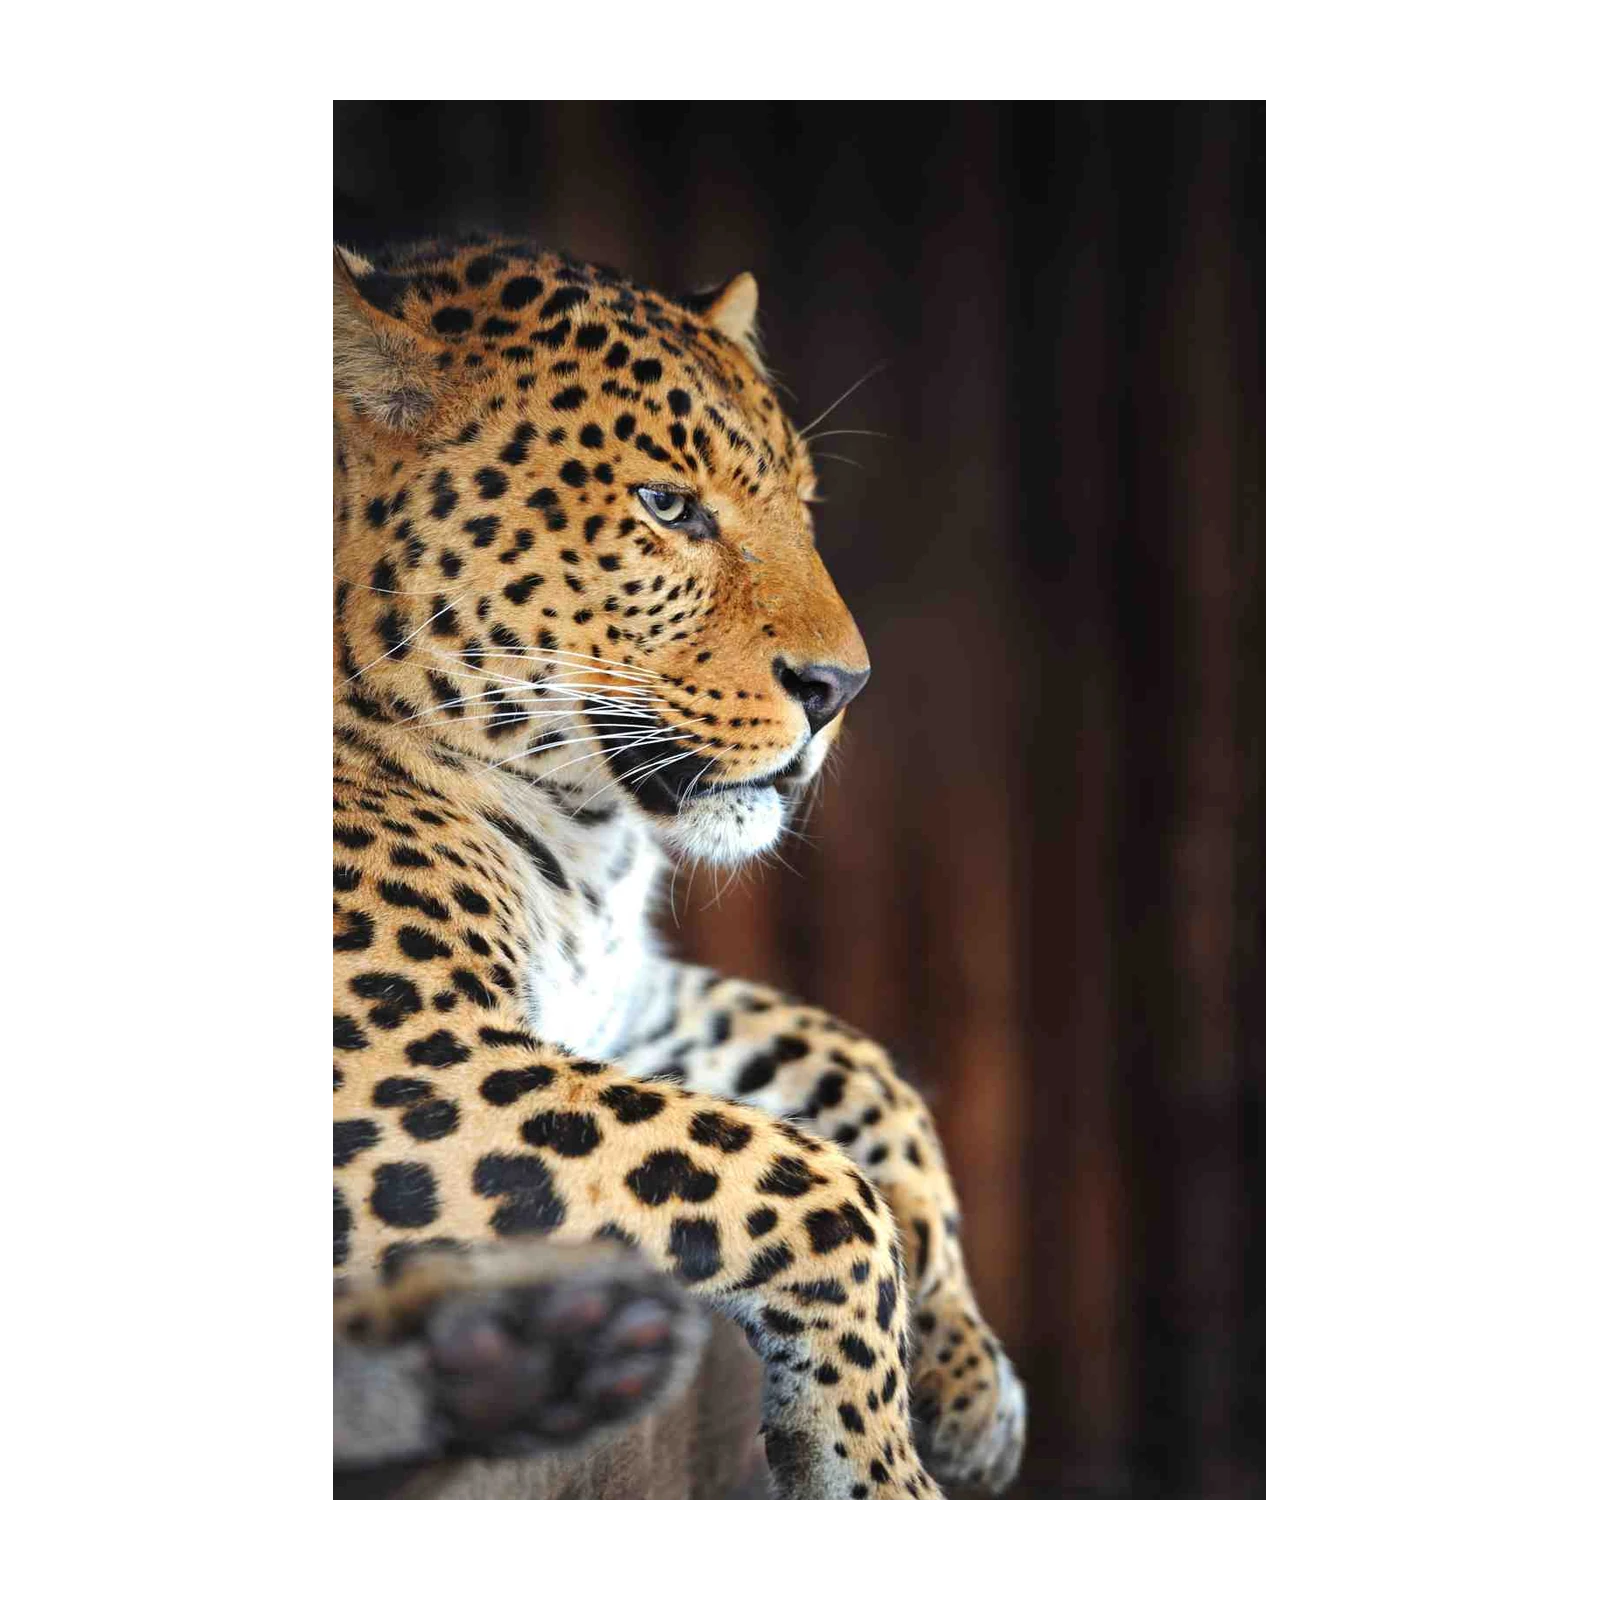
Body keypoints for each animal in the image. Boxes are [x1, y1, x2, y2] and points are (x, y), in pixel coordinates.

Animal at [327, 235, 1027, 1503]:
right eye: (665, 507)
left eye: (803, 504)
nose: (840, 689)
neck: (582, 840)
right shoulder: (387, 1055)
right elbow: (812, 1183)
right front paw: (878, 1463)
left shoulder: (618, 998)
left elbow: (857, 1069)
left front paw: (964, 1370)